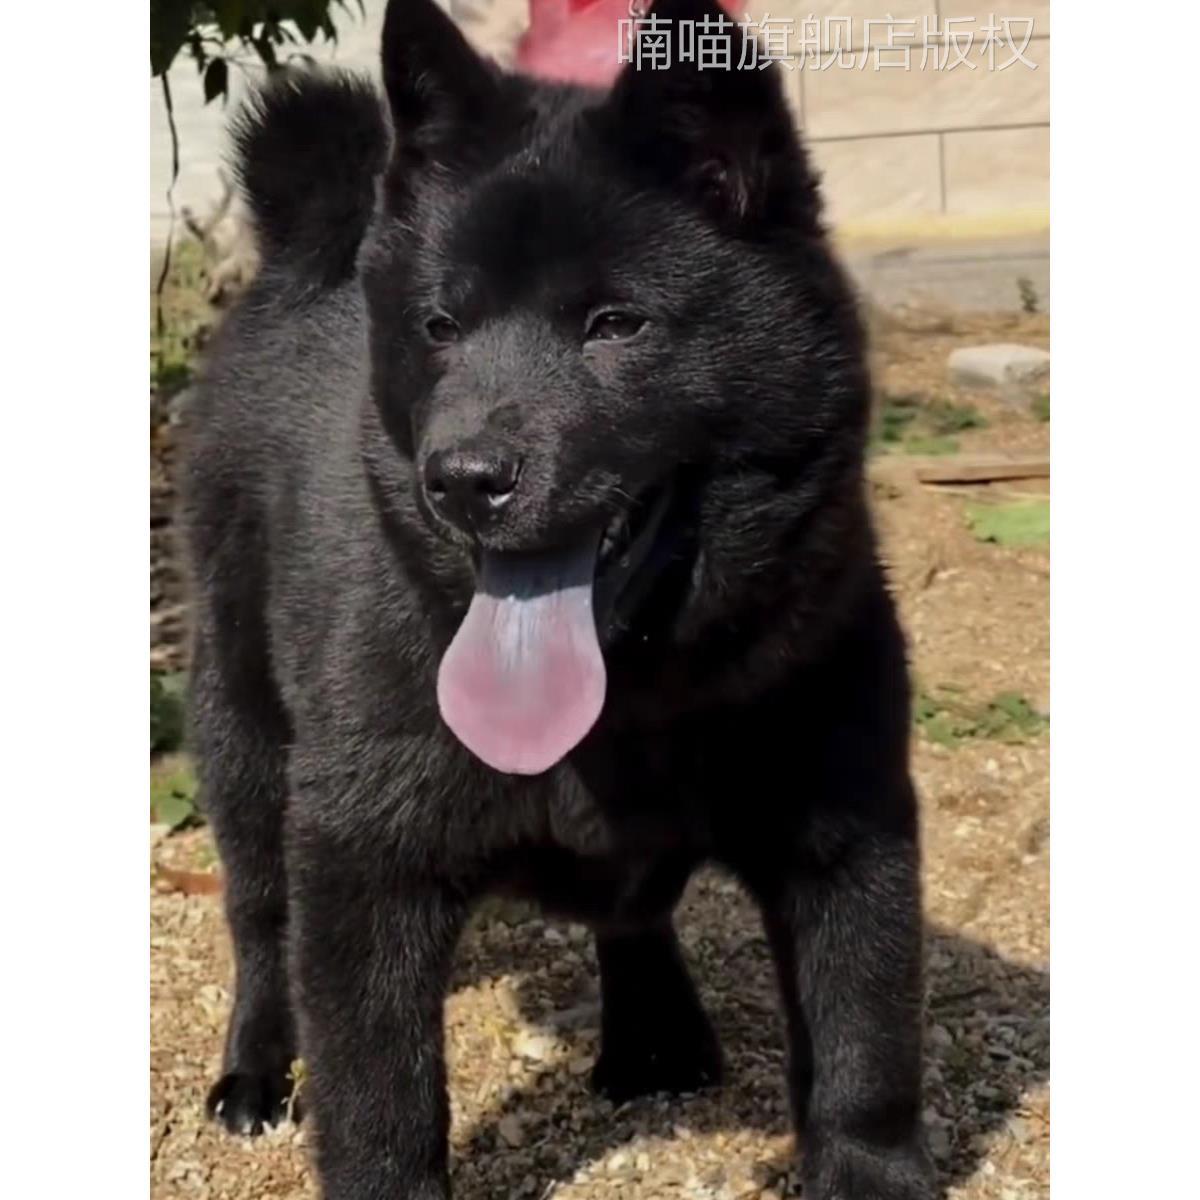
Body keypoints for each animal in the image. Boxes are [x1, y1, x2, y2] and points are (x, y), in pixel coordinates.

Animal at [177, 4, 931, 1195]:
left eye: (615, 325)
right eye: (440, 328)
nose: (462, 480)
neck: (627, 697)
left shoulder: (848, 830)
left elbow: (865, 1051)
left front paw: (867, 1171)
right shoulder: (363, 861)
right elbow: (381, 1102)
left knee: (634, 910)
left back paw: (656, 1036)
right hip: (243, 732)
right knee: (259, 924)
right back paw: (254, 1076)